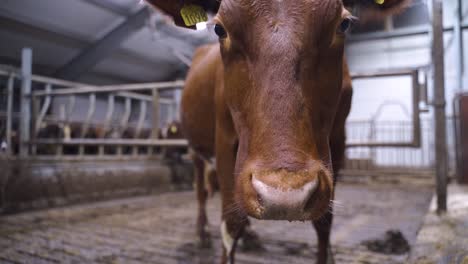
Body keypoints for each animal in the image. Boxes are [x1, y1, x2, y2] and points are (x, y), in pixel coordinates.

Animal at [144, 1, 408, 262]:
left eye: (342, 24)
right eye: (220, 29)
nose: (284, 197)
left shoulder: (338, 141)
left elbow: (324, 222)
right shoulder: (225, 140)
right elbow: (231, 223)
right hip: (197, 149)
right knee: (201, 190)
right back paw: (202, 233)